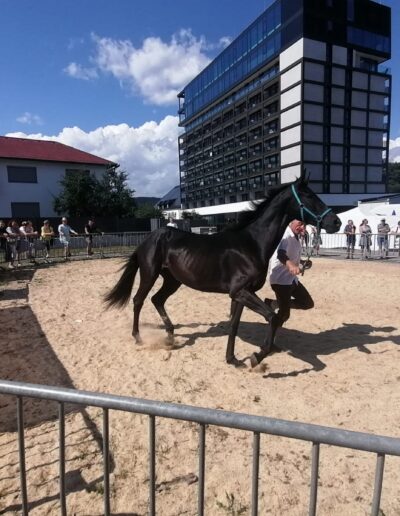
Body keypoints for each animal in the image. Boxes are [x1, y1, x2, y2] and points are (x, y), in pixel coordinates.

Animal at [105, 175, 340, 364]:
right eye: (309, 196)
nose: (336, 222)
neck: (251, 244)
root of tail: (149, 238)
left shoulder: (241, 294)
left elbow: (235, 325)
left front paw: (232, 359)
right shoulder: (239, 292)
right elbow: (272, 317)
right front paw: (256, 357)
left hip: (173, 280)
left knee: (157, 300)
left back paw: (171, 336)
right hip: (149, 274)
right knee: (139, 300)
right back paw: (138, 337)